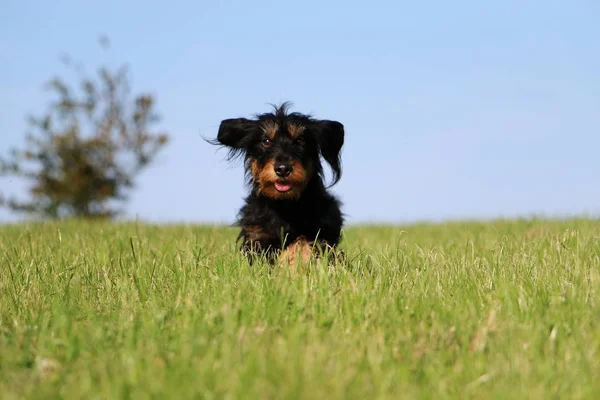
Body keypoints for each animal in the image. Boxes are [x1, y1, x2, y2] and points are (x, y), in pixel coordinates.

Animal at [211, 102, 344, 266]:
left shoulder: (321, 233)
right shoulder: (256, 236)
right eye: (266, 141)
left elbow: (301, 243)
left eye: (300, 141)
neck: (285, 204)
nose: (283, 169)